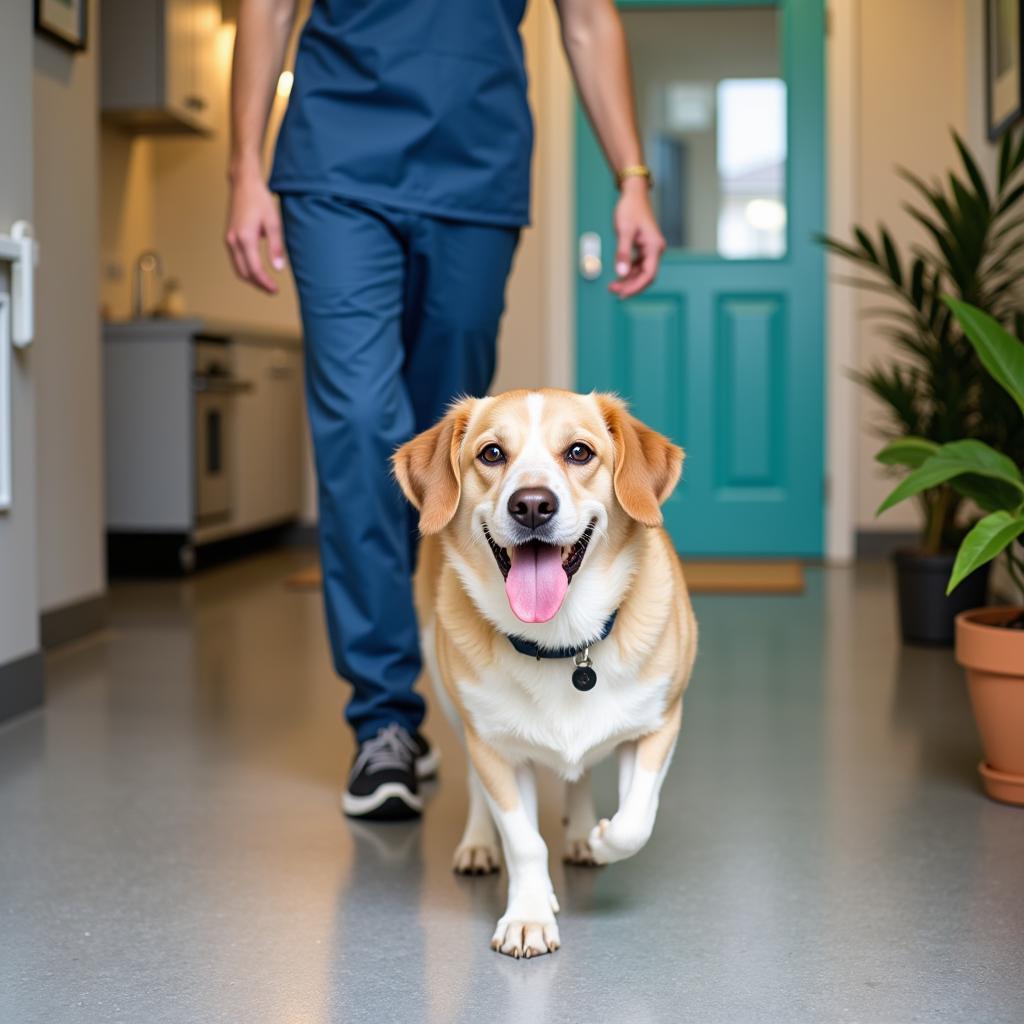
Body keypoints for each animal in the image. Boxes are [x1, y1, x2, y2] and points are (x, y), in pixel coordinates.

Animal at [391, 387, 696, 954]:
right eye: (491, 454)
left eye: (579, 452)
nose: (532, 504)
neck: (562, 642)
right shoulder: (494, 748)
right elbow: (524, 840)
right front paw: (529, 914)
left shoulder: (659, 724)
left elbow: (635, 819)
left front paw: (601, 839)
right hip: (453, 702)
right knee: (475, 785)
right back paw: (478, 844)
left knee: (582, 776)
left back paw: (580, 834)